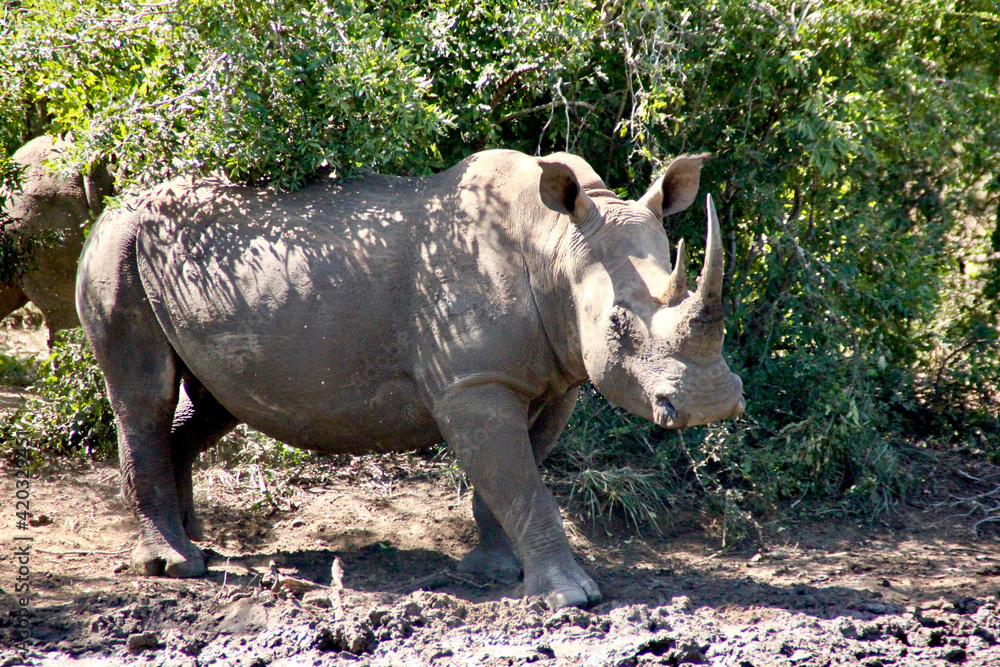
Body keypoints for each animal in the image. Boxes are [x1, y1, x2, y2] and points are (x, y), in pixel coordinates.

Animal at [76, 149, 744, 609]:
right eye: (618, 323)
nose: (710, 404)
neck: (554, 244)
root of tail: (109, 208)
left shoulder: (555, 378)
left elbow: (513, 477)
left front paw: (496, 572)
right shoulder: (472, 384)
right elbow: (523, 483)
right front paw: (571, 597)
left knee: (214, 401)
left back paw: (196, 542)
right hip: (117, 249)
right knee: (144, 398)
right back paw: (175, 566)